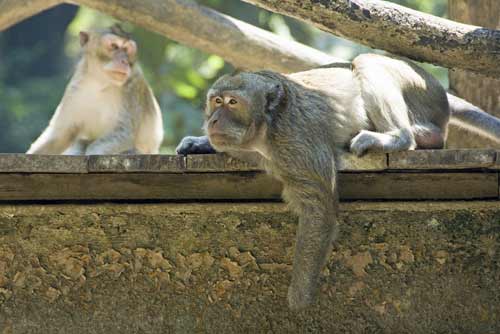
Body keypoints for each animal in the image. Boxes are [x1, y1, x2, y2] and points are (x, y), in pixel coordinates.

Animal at [26, 25, 163, 155]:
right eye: (114, 46)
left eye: (127, 50)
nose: (124, 61)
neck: (100, 82)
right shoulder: (75, 87)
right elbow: (60, 135)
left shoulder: (133, 86)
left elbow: (124, 133)